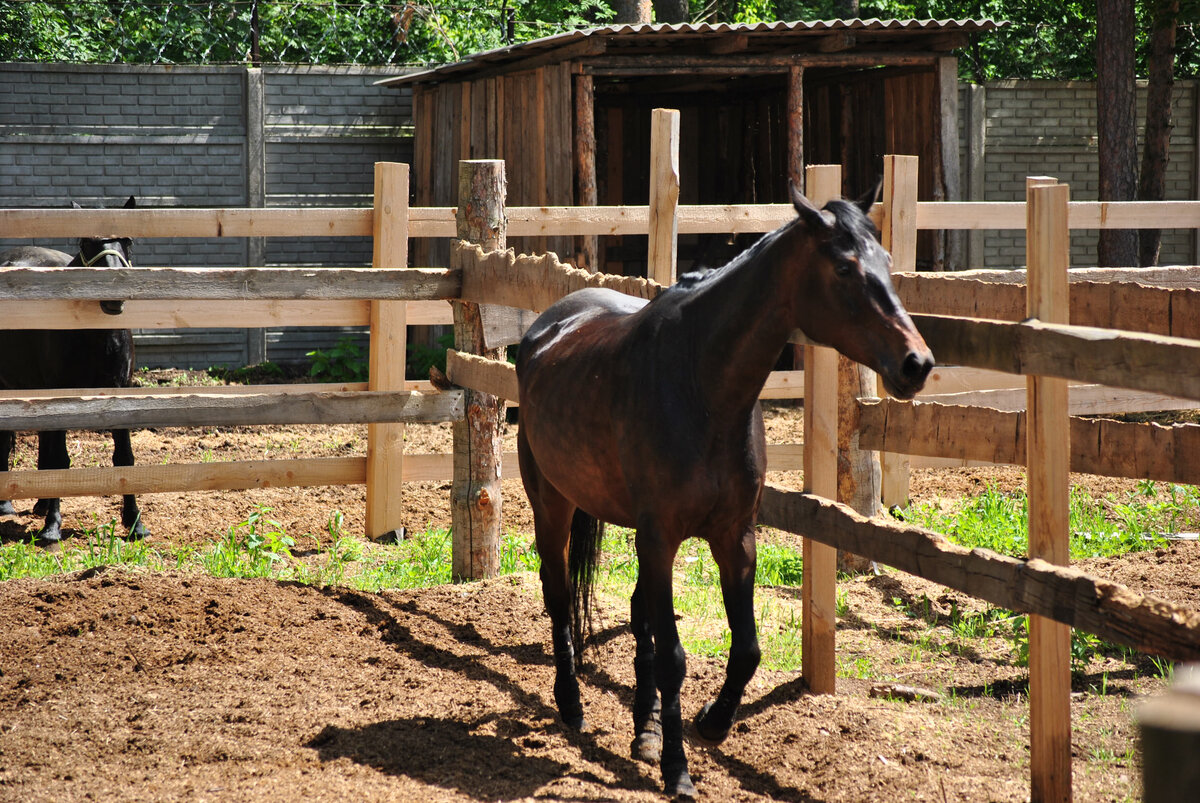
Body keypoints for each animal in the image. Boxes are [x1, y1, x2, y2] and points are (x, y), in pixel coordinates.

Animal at [0, 196, 148, 542]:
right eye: (84, 242)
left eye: (128, 241)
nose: (113, 295)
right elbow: (60, 458)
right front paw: (52, 527)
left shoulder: (119, 392)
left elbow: (124, 458)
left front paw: (135, 522)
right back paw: (8, 506)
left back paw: (40, 503)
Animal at [513, 186, 926, 796]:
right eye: (844, 269)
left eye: (887, 265)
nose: (916, 363)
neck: (700, 385)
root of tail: (547, 327)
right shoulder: (661, 538)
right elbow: (674, 658)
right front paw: (678, 770)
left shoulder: (734, 538)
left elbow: (746, 647)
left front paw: (711, 722)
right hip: (553, 503)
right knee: (559, 594)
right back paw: (571, 705)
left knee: (636, 613)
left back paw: (645, 729)